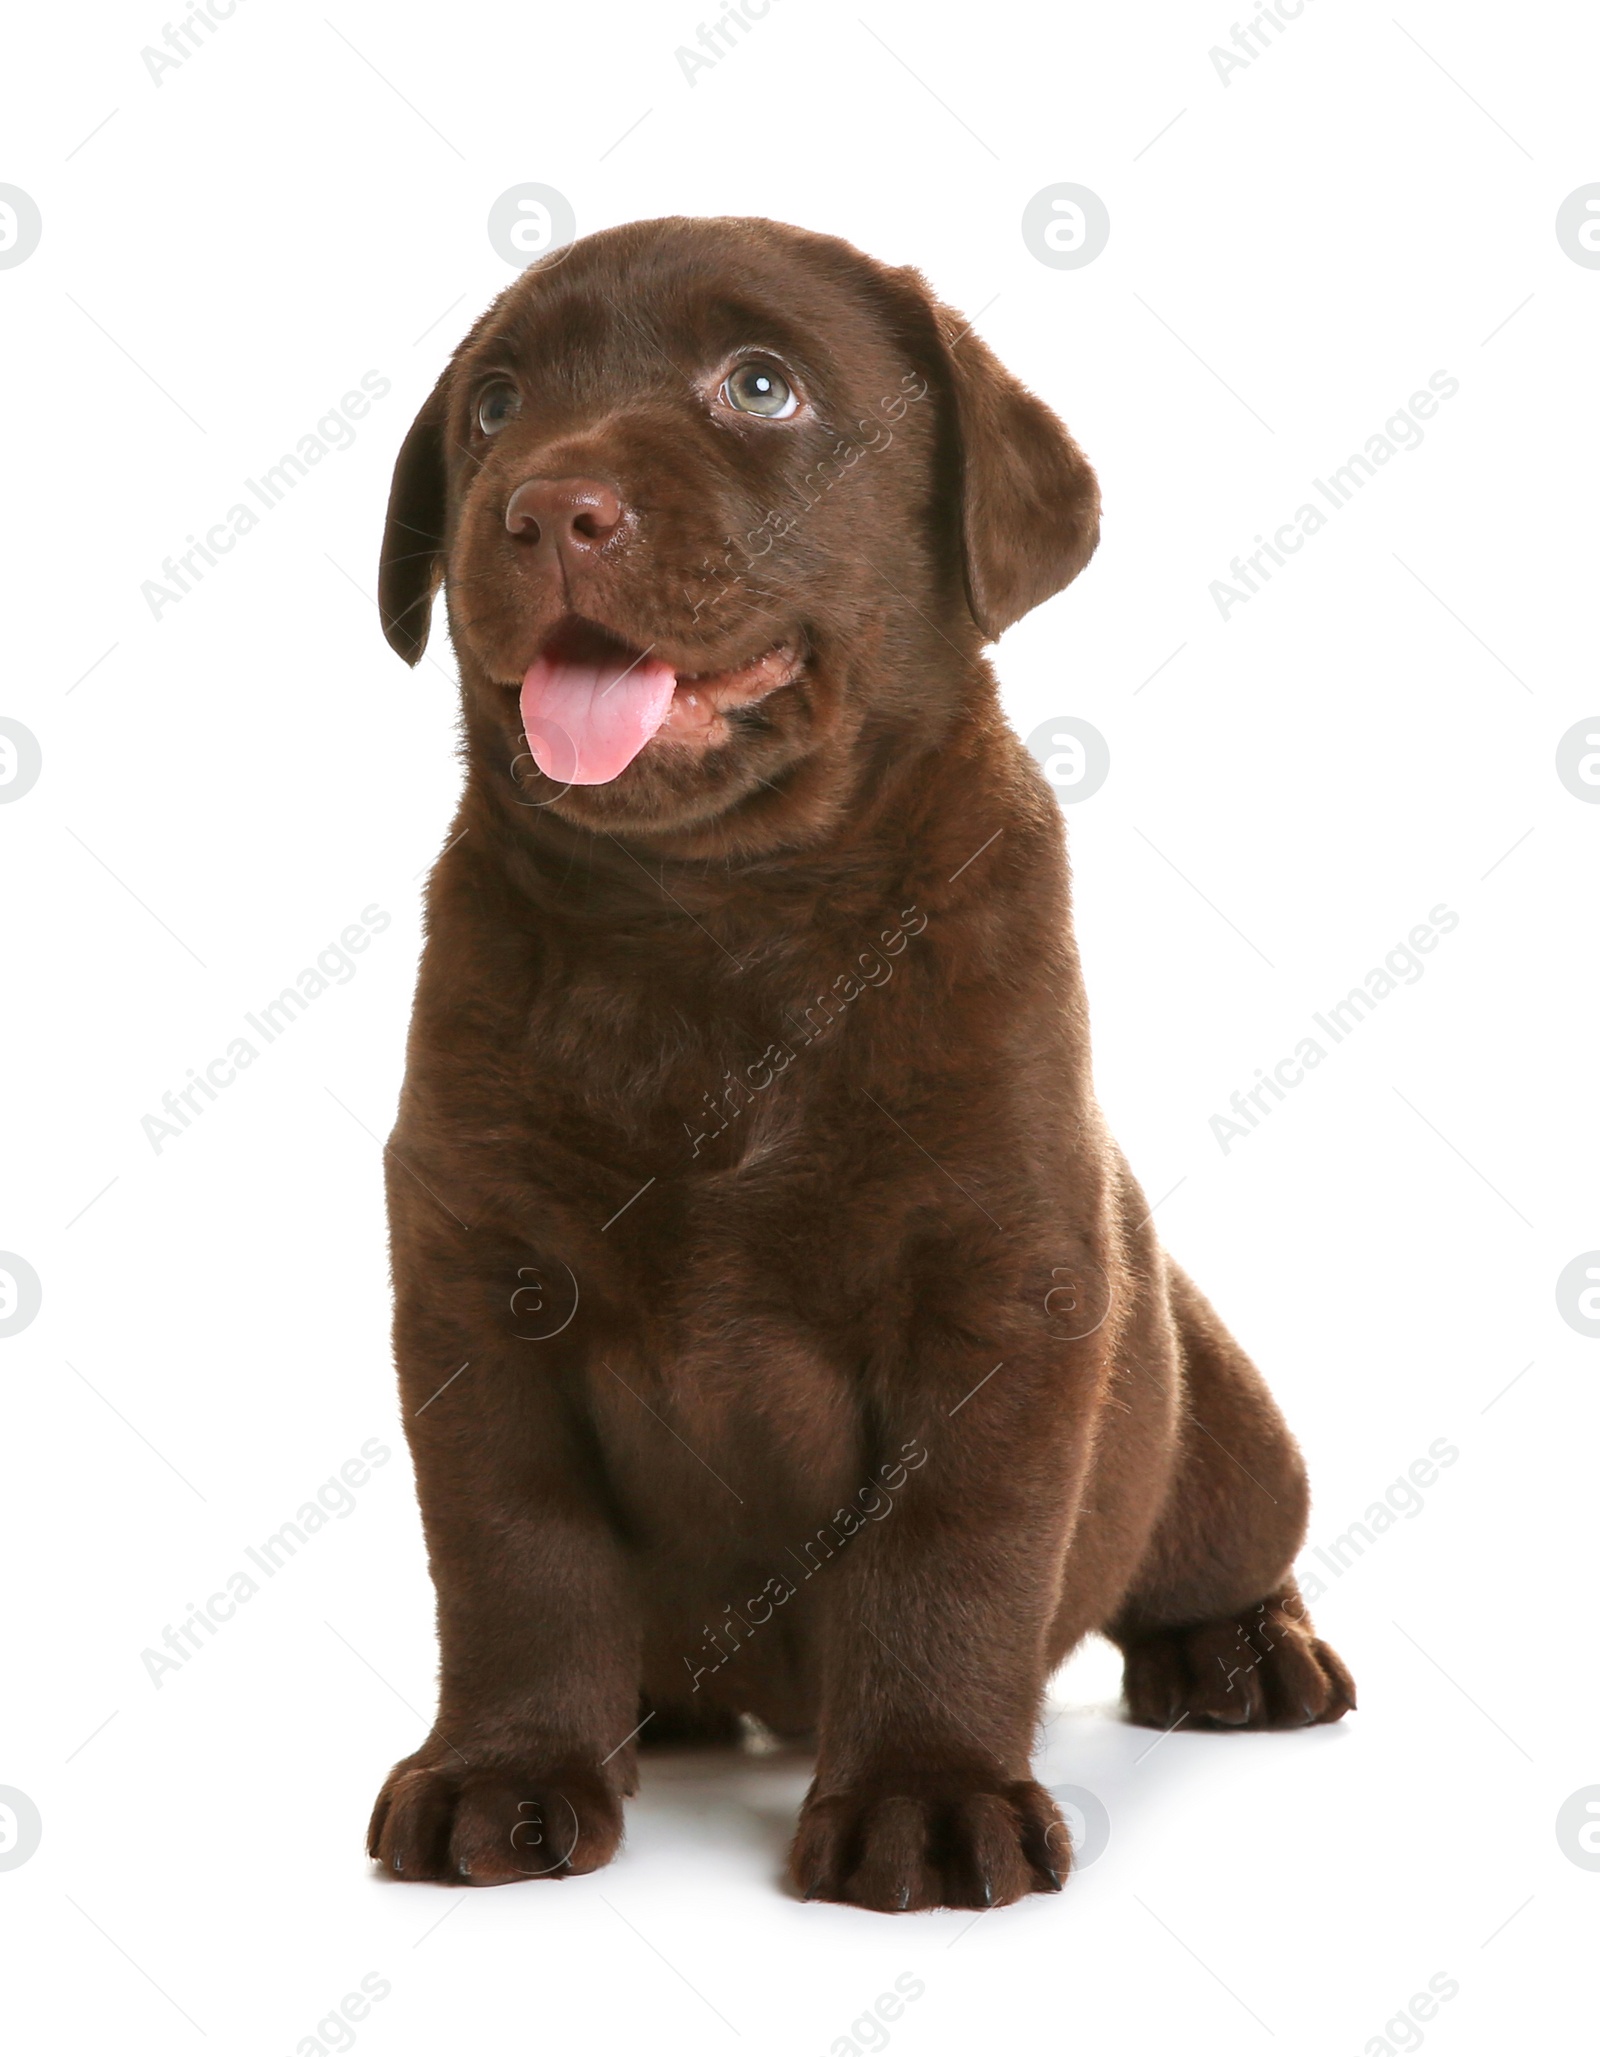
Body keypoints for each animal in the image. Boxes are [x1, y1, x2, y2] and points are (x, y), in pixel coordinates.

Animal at [361, 217, 1349, 1917]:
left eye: (760, 387)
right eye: (491, 409)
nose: (547, 505)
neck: (713, 921)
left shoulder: (1001, 1290)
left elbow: (951, 1558)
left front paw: (929, 1796)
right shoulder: (480, 1288)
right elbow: (514, 1557)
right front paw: (508, 1770)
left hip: (1220, 1437)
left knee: (1223, 1545)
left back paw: (1243, 1655)